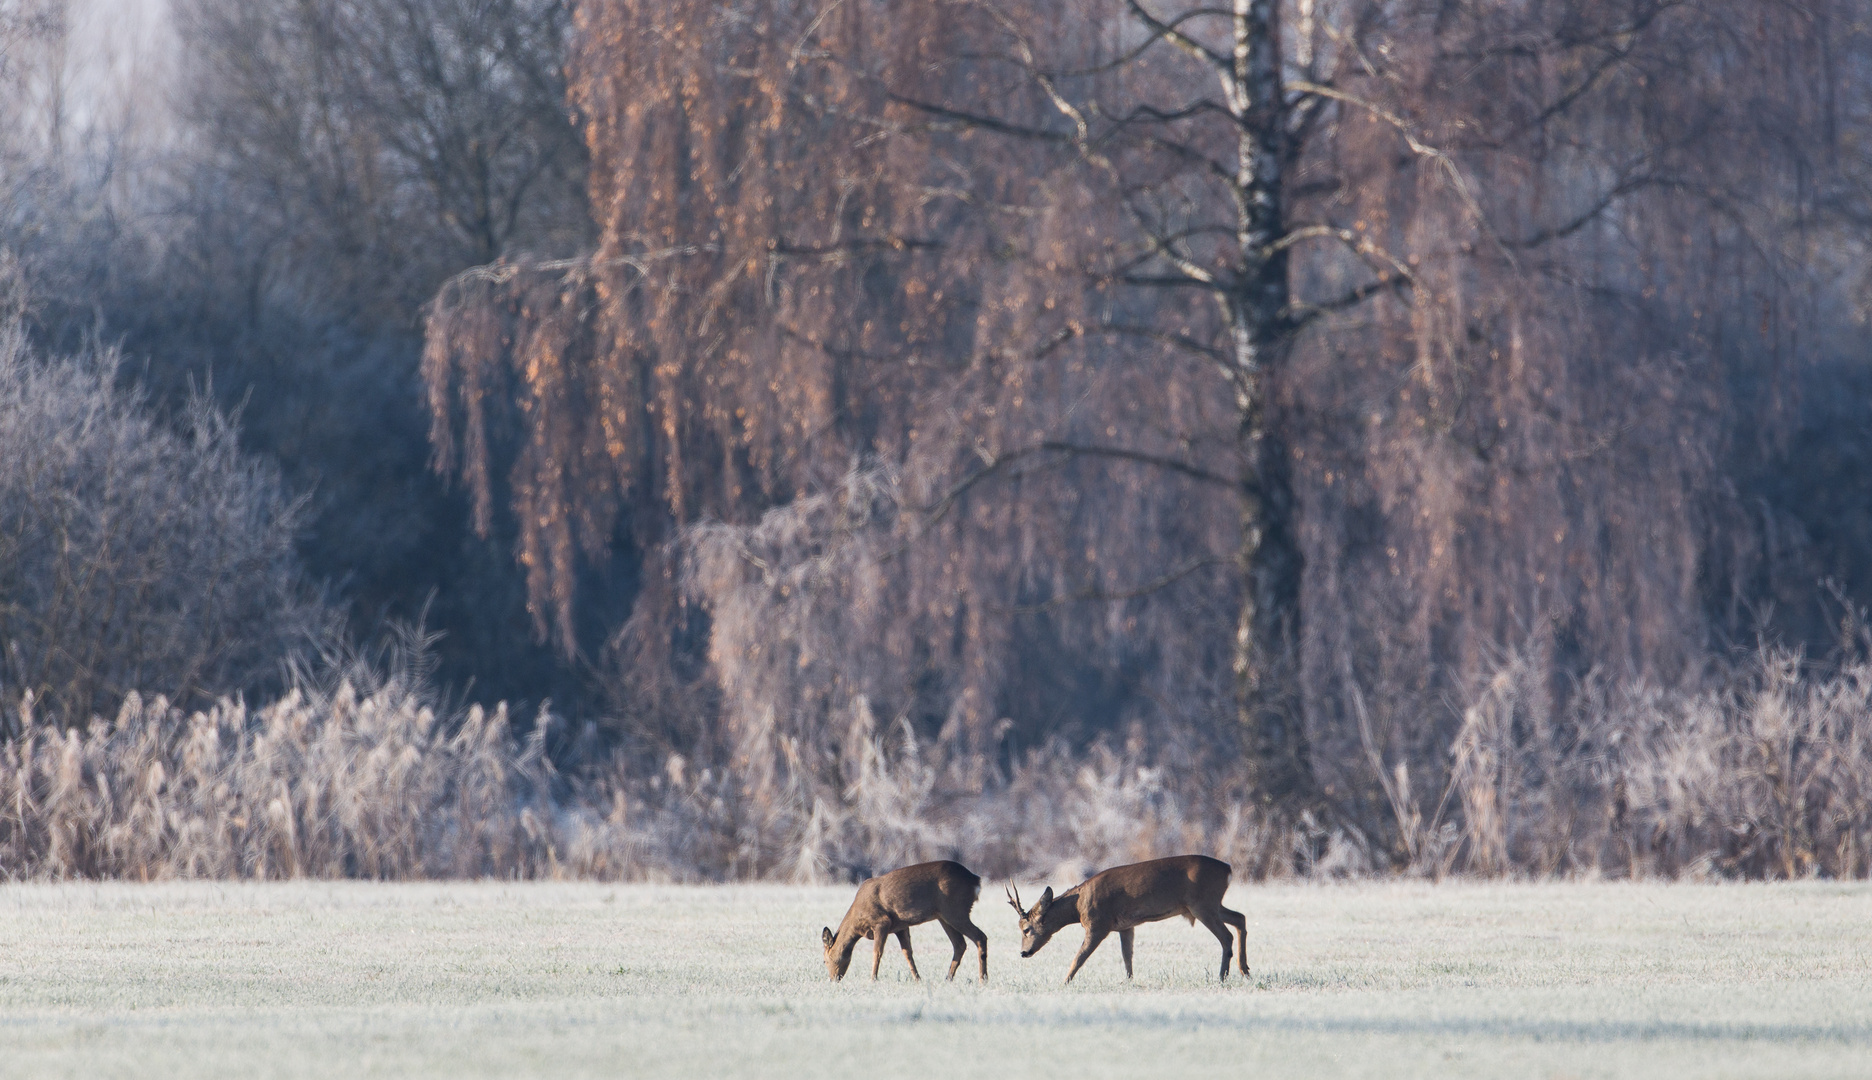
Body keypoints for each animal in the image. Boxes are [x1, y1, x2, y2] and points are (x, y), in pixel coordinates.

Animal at [823, 853, 995, 980]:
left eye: (824, 960)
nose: (833, 979)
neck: (856, 921)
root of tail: (975, 880)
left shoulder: (882, 922)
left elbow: (877, 952)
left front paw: (873, 979)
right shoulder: (901, 926)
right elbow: (908, 953)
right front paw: (917, 979)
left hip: (956, 911)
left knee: (980, 937)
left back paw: (982, 979)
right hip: (944, 916)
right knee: (960, 944)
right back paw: (948, 979)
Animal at [1003, 853, 1250, 980]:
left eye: (1026, 929)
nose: (1024, 952)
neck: (1078, 906)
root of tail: (1228, 869)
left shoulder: (1098, 925)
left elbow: (1079, 957)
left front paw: (1064, 983)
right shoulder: (1125, 926)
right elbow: (1127, 957)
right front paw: (1130, 982)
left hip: (1202, 904)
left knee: (1227, 936)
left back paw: (1222, 976)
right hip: (1212, 904)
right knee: (1240, 918)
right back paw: (1244, 970)